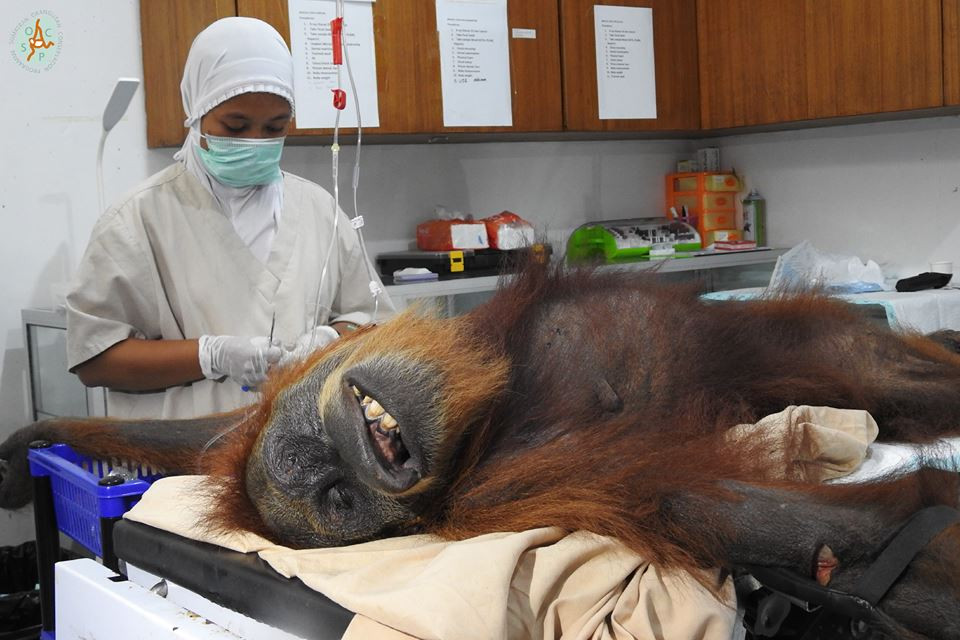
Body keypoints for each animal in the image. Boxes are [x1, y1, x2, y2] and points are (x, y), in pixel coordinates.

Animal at [1, 262, 959, 638]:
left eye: (319, 459)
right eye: (339, 502)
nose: (352, 467)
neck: (498, 398)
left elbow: (205, 436)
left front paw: (27, 439)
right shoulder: (515, 488)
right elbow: (809, 536)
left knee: (874, 365)